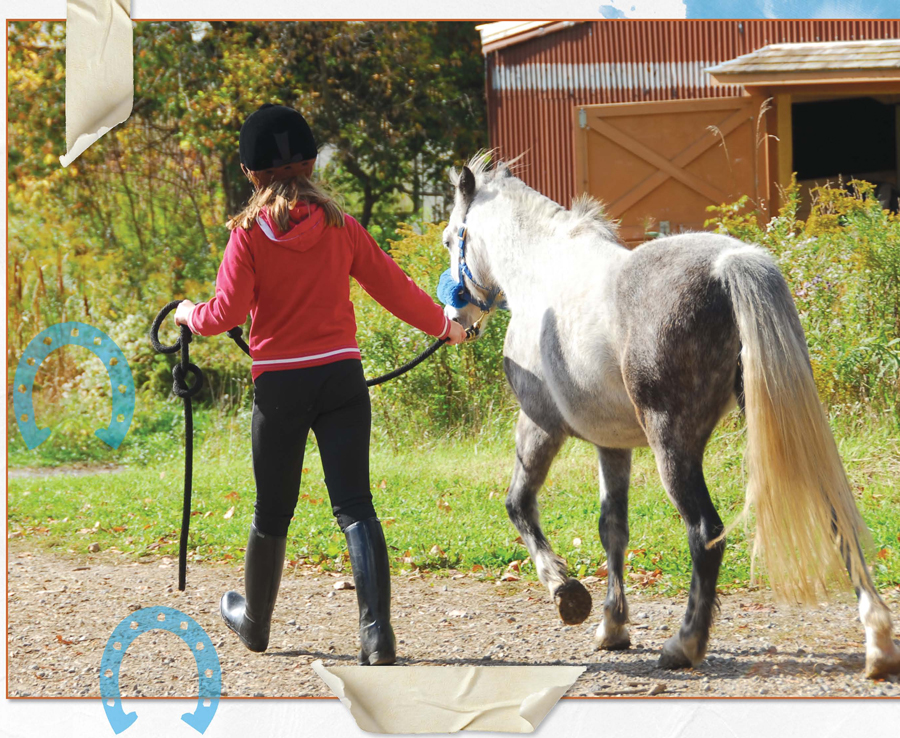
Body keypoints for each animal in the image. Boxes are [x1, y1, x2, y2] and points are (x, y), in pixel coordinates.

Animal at [442, 155, 900, 680]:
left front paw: (566, 593)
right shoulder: (612, 445)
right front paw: (612, 626)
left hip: (673, 446)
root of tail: (729, 263)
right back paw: (878, 641)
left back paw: (684, 644)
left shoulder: (539, 426)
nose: (455, 319)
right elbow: (612, 528)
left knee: (705, 533)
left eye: (450, 238)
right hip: (782, 427)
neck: (543, 272)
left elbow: (519, 504)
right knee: (833, 513)